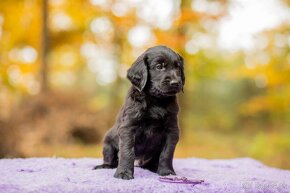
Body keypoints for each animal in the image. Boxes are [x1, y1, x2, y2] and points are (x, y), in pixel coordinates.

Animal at [94, 45, 185, 179]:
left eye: (178, 67)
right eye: (159, 66)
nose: (176, 83)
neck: (156, 100)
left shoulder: (172, 130)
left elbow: (167, 153)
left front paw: (167, 172)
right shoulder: (128, 127)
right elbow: (127, 151)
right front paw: (123, 173)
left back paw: (153, 167)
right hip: (108, 140)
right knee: (110, 159)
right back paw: (105, 165)